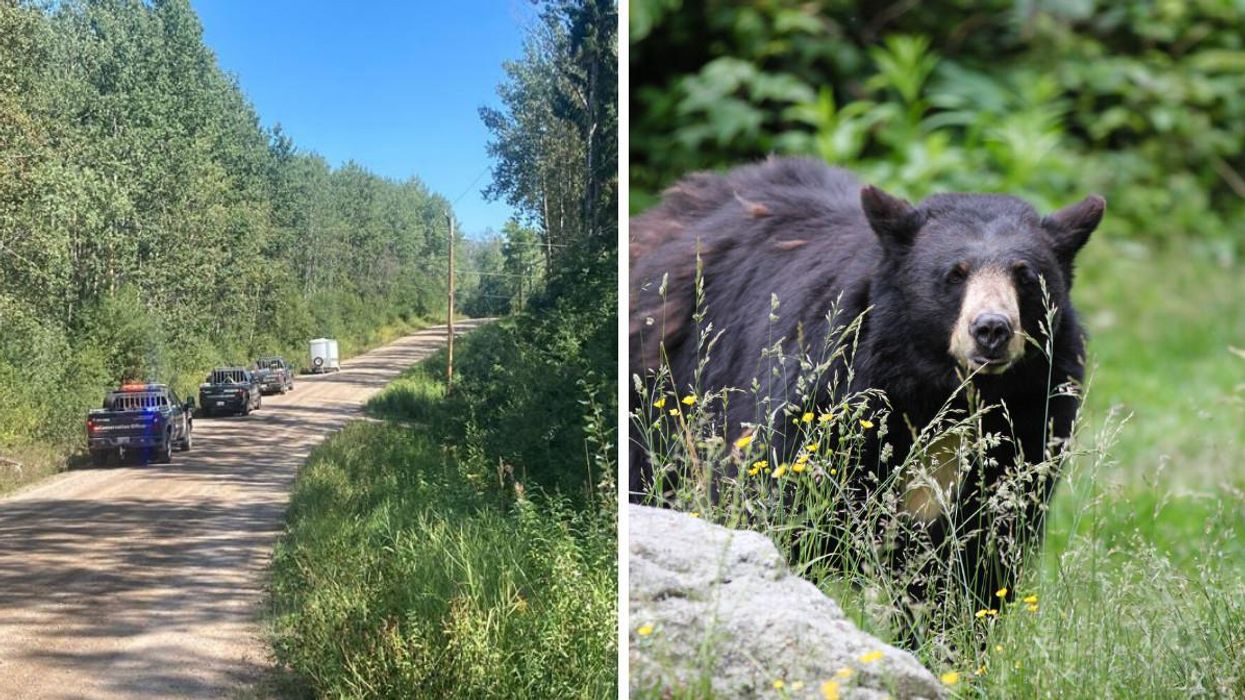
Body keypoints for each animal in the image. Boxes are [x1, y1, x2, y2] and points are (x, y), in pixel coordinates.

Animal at [629, 157, 1104, 624]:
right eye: (955, 274)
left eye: (1025, 276)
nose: (991, 329)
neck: (941, 393)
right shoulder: (826, 404)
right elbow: (781, 509)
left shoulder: (1028, 426)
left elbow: (978, 561)